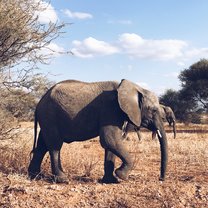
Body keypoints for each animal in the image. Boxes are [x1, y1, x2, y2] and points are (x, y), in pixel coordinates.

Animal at [27, 79, 168, 184]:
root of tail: (39, 103)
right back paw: (63, 179)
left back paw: (34, 176)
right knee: (55, 145)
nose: (161, 179)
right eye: (154, 110)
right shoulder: (110, 110)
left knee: (42, 145)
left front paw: (111, 181)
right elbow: (109, 139)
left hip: (47, 118)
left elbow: (111, 144)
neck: (135, 87)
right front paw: (121, 176)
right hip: (50, 115)